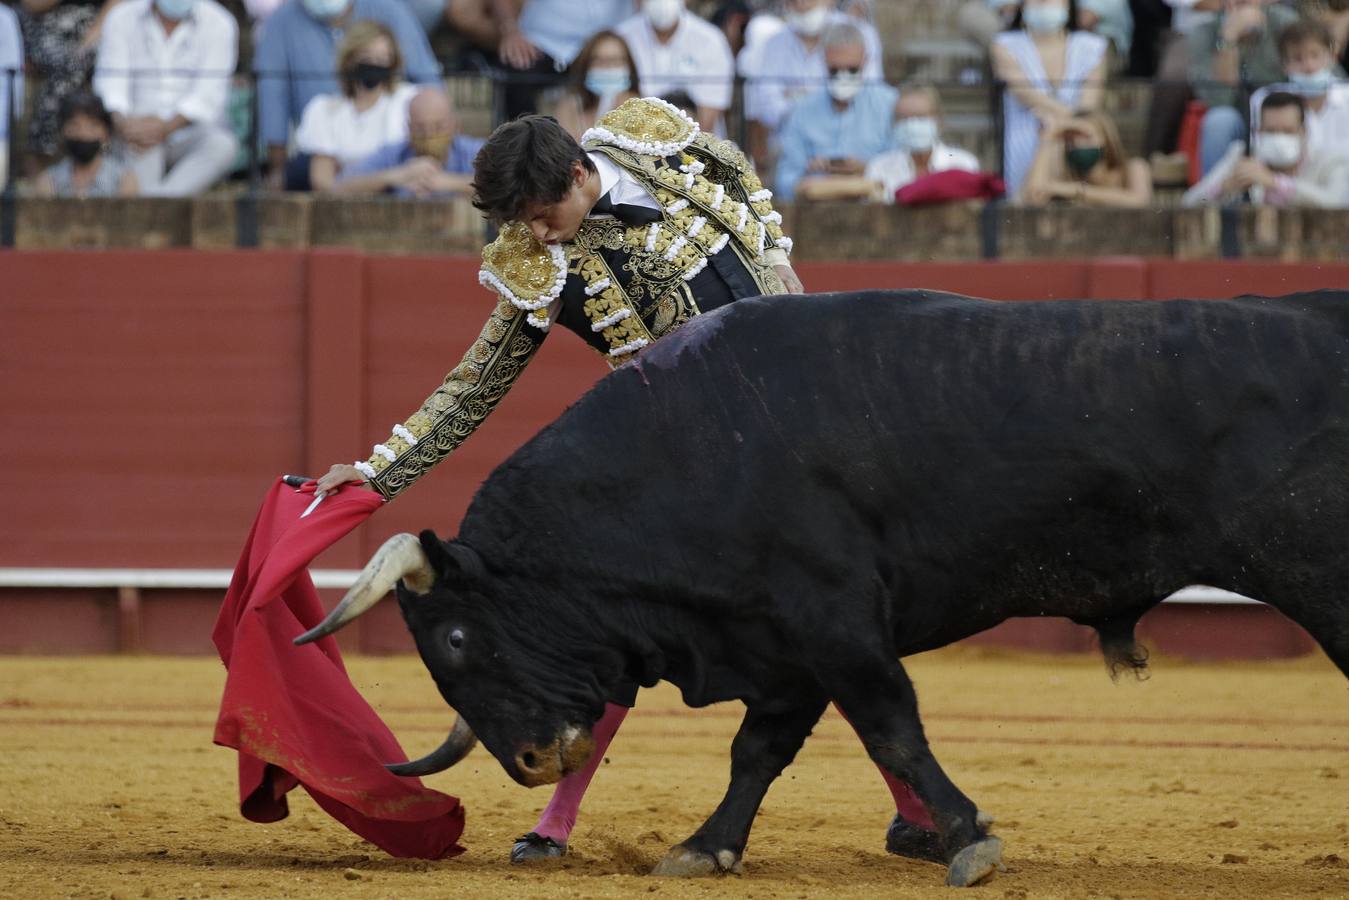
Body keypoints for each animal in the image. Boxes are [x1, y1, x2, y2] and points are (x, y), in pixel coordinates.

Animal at [300, 290, 1349, 885]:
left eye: (456, 640)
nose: (527, 762)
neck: (684, 454)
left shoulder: (833, 624)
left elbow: (890, 726)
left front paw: (967, 838)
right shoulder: (778, 642)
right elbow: (756, 752)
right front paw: (705, 848)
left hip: (1321, 578)